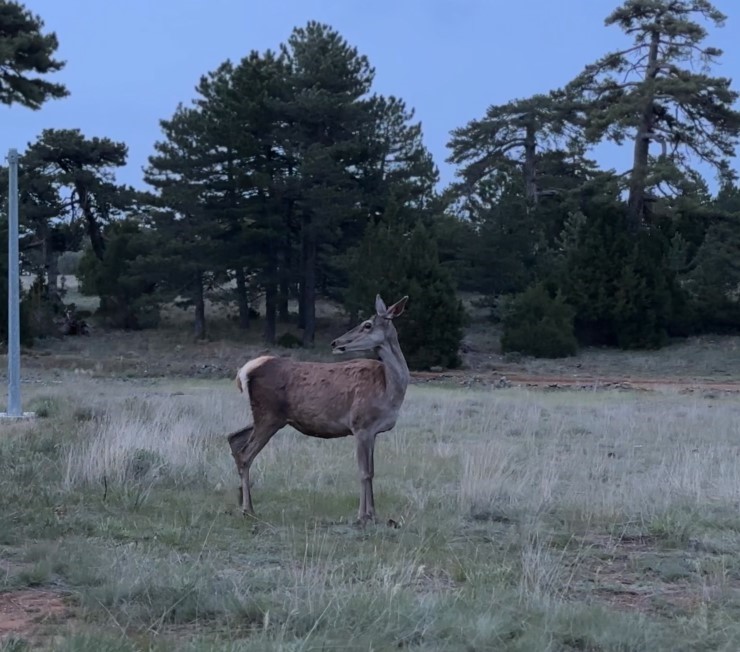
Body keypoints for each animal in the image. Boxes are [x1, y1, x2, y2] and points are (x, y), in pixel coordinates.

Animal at [227, 296, 410, 524]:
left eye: (367, 325)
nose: (336, 342)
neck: (389, 389)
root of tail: (245, 371)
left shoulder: (373, 431)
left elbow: (372, 472)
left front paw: (373, 515)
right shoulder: (360, 424)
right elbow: (364, 472)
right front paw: (362, 516)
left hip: (268, 417)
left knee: (234, 438)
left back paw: (241, 502)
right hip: (268, 415)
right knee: (245, 454)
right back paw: (248, 509)